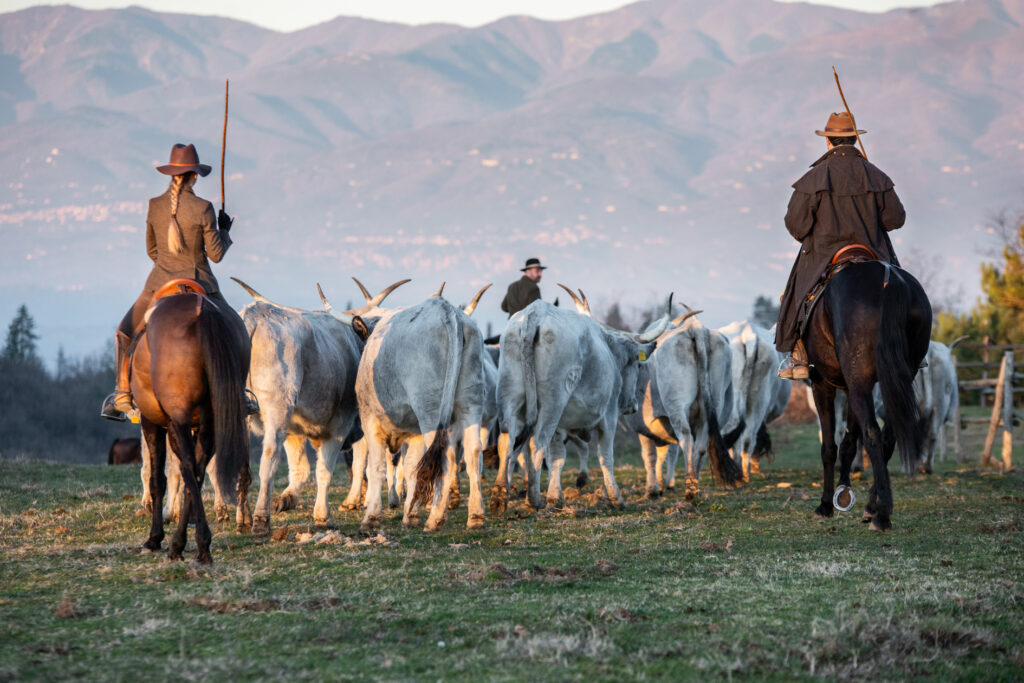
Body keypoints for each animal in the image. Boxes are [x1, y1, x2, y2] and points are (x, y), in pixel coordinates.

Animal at [133, 290, 252, 565]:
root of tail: (203, 311)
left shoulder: (152, 423)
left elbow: (158, 479)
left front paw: (154, 539)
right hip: (209, 420)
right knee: (196, 471)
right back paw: (188, 544)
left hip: (178, 419)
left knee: (187, 467)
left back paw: (196, 544)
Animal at [806, 259, 929, 532]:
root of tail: (890, 278)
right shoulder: (851, 386)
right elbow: (849, 441)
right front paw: (843, 492)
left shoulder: (822, 384)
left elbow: (829, 447)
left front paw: (826, 504)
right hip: (894, 378)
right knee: (889, 435)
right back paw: (873, 506)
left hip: (859, 381)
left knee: (873, 432)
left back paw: (881, 514)